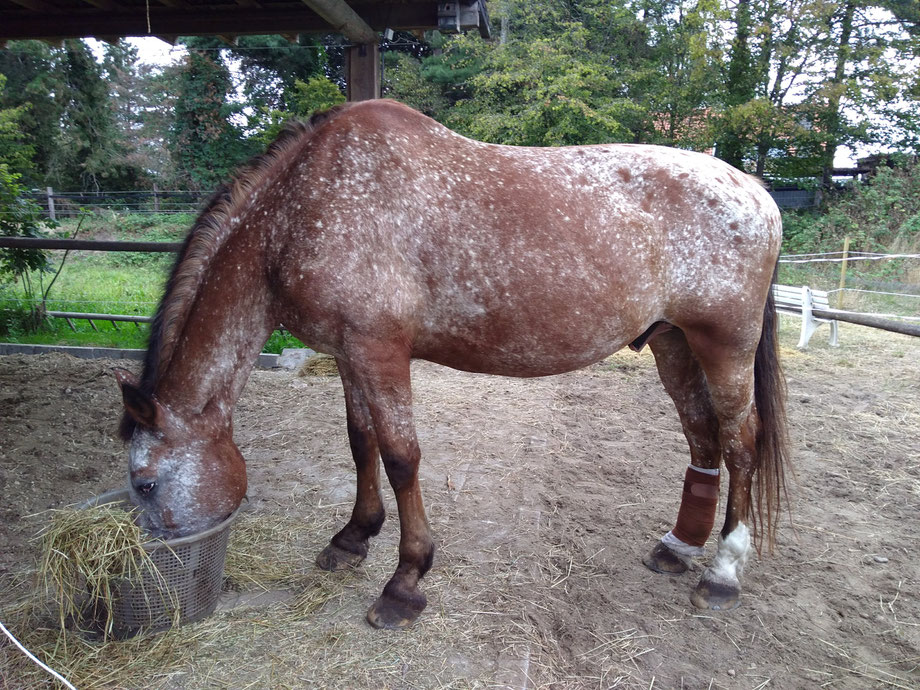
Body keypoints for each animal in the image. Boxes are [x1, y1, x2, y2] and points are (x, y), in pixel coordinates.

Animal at [115, 99, 789, 629]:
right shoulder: (348, 354)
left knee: (740, 442)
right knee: (702, 434)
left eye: (145, 483)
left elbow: (401, 457)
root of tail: (756, 190)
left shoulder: (380, 350)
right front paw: (353, 537)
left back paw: (722, 574)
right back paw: (678, 548)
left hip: (724, 347)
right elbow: (361, 442)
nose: (150, 565)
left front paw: (406, 581)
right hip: (674, 342)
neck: (302, 207)